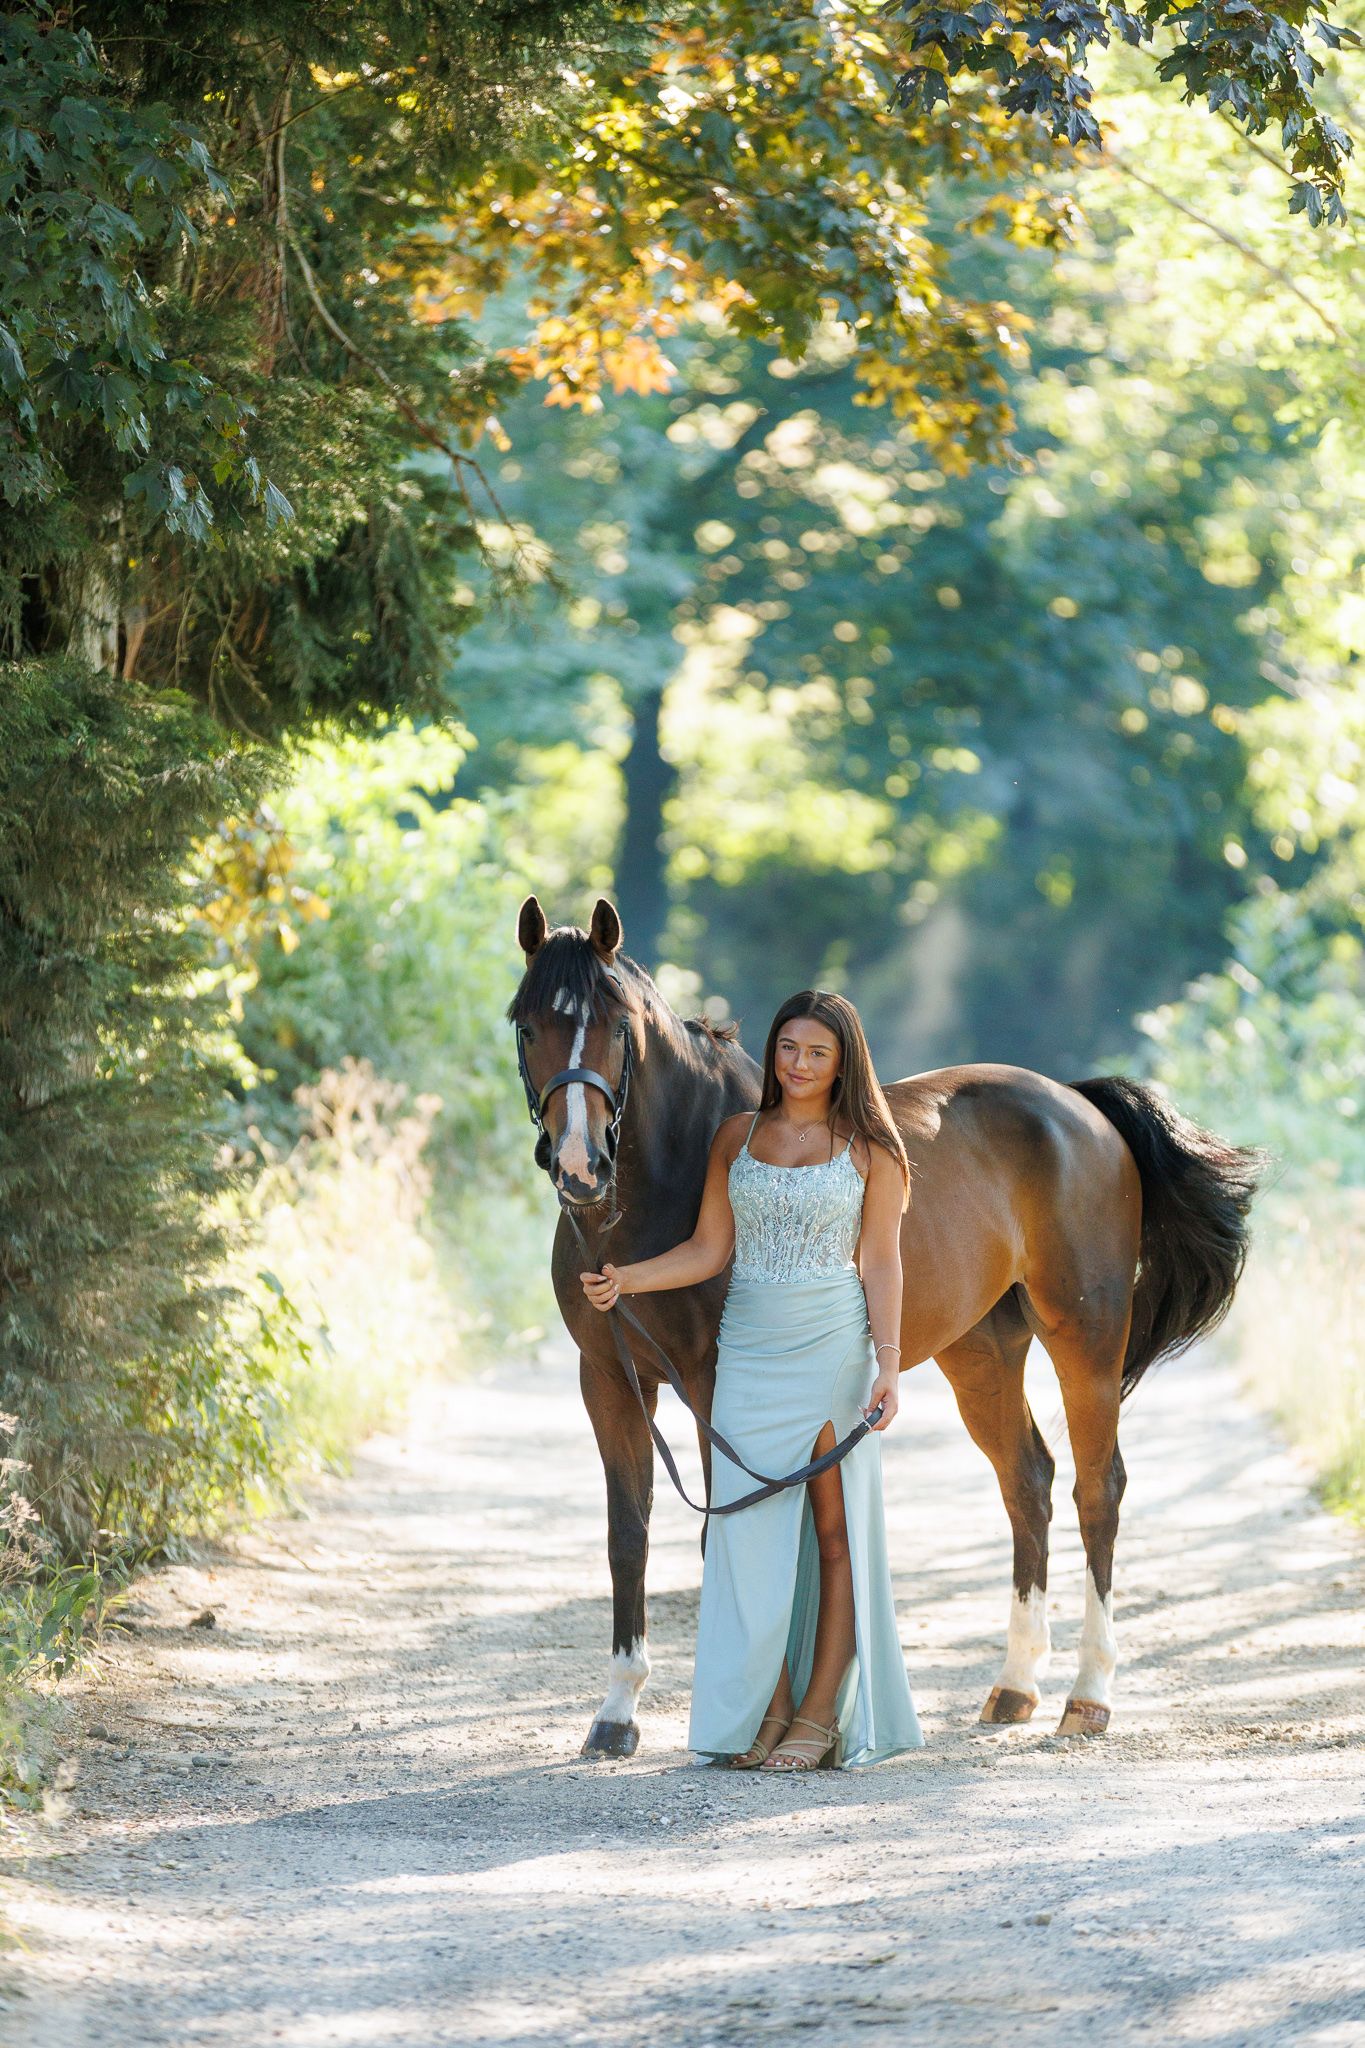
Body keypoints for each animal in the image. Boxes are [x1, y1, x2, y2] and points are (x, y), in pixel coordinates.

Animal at [509, 894, 1262, 1757]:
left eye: (617, 1024)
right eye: (525, 1025)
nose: (580, 1167)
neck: (655, 1194)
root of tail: (1079, 1109)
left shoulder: (709, 1381)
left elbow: (724, 1534)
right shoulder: (607, 1379)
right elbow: (627, 1535)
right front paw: (616, 1714)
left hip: (1086, 1341)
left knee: (1095, 1488)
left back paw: (1088, 1695)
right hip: (981, 1353)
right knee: (1027, 1482)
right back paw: (1013, 1687)